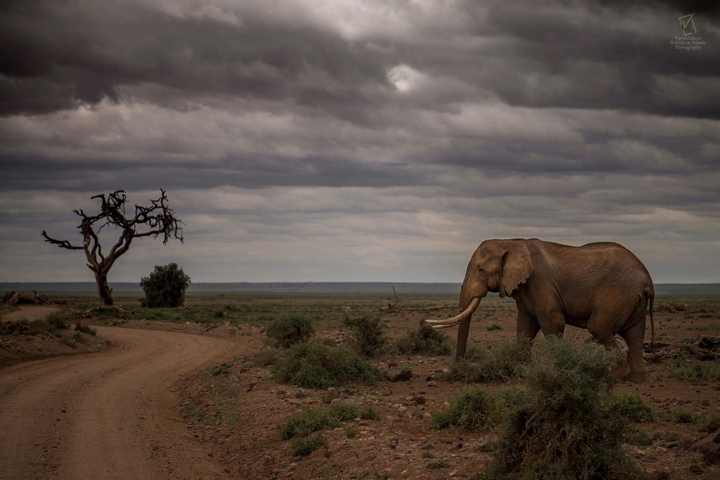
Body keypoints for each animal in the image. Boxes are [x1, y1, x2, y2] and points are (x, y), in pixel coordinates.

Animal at [427, 238, 655, 382]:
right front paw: (517, 370)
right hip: (632, 300)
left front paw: (556, 373)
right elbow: (525, 327)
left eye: (481, 269)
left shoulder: (540, 283)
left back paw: (616, 376)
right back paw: (636, 379)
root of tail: (647, 278)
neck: (510, 241)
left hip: (618, 294)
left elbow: (552, 322)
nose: (459, 368)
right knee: (635, 335)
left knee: (600, 327)